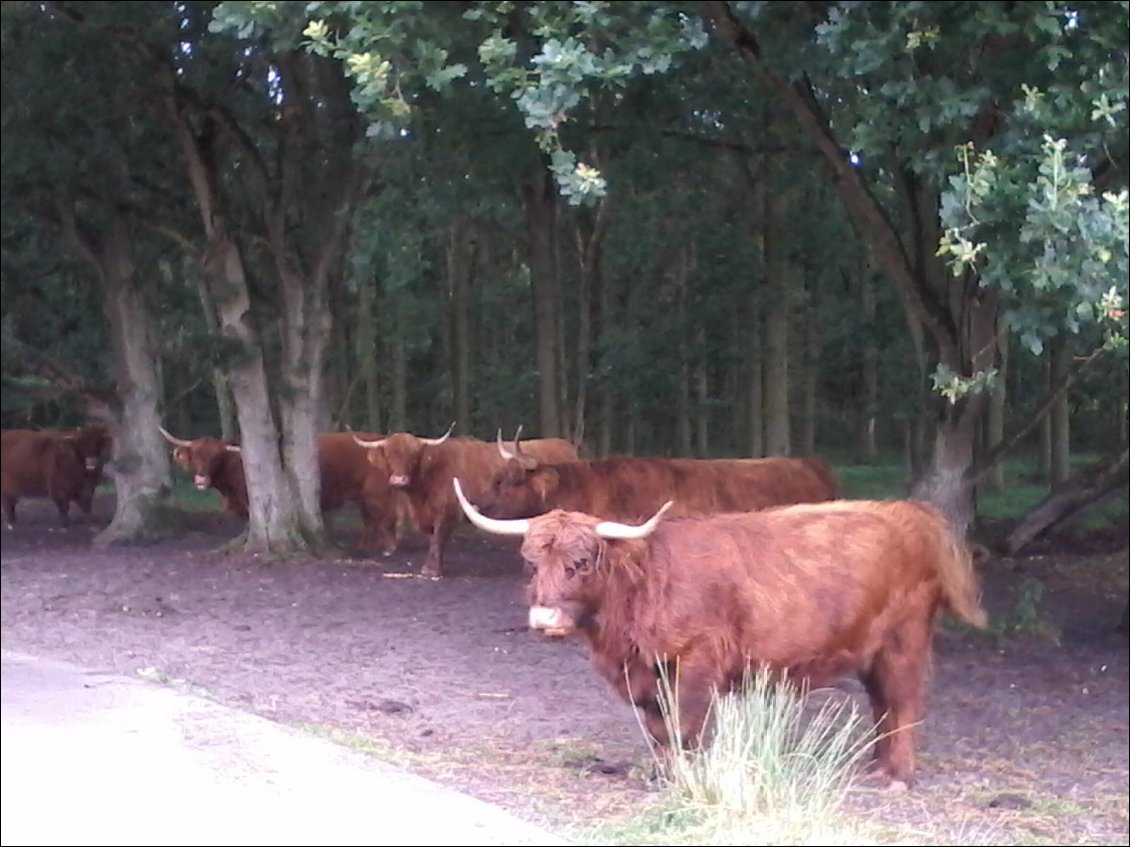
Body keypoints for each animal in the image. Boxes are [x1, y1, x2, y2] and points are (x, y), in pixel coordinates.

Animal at [159, 426, 406, 553]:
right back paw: (366, 545)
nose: (201, 478)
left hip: (375, 492)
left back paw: (388, 547)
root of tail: (381, 440)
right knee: (371, 519)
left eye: (216, 457)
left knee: (383, 516)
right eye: (195, 455)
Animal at [354, 424, 583, 578]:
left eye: (414, 456)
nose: (398, 480)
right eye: (388, 455)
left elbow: (438, 539)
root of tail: (564, 444)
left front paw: (430, 569)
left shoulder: (447, 510)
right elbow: (432, 538)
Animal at [454, 481, 985, 795]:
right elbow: (658, 728)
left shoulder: (696, 664)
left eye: (581, 562)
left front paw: (680, 777)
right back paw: (876, 768)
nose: (544, 619)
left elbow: (684, 726)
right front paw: (660, 773)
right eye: (530, 562)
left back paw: (897, 777)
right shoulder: (648, 674)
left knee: (903, 701)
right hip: (872, 649)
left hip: (904, 640)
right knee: (882, 703)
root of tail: (908, 513)